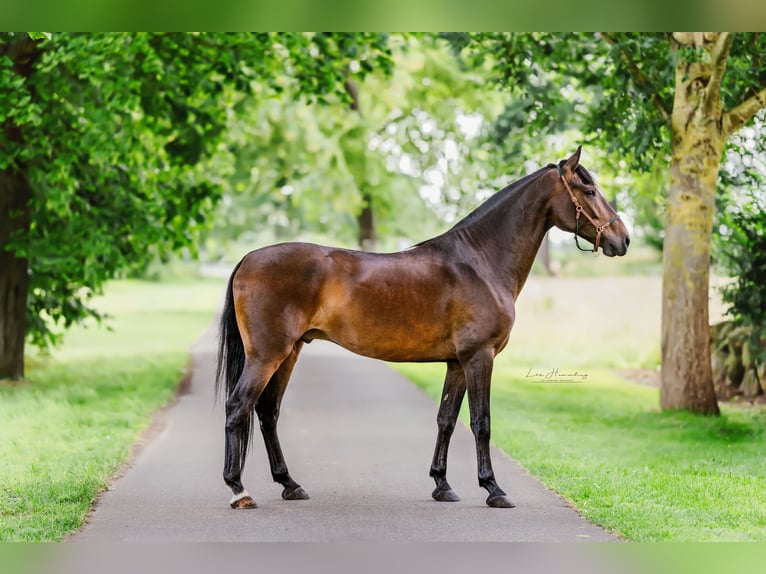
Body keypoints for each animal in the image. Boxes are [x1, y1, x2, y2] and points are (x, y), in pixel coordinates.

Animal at [216, 146, 632, 510]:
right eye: (590, 191)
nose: (623, 239)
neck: (479, 261)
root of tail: (248, 259)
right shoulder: (479, 357)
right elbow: (481, 422)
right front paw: (493, 489)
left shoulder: (457, 363)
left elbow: (446, 420)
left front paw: (442, 485)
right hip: (267, 355)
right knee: (238, 407)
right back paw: (238, 491)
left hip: (289, 353)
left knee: (267, 412)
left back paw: (290, 484)